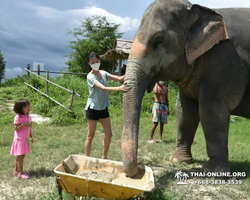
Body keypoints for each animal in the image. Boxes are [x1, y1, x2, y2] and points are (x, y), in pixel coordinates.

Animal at [122, 0, 250, 177]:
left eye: (158, 41)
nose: (139, 170)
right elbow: (184, 111)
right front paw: (179, 160)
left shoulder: (226, 60)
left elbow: (212, 111)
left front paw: (214, 171)